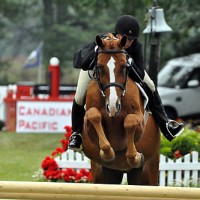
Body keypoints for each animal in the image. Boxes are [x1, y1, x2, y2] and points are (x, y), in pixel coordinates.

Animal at [81, 32, 161, 184]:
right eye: (99, 67)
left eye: (124, 67)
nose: (113, 106)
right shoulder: (88, 124)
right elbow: (94, 115)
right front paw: (107, 153)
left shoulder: (140, 121)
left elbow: (130, 121)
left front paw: (136, 157)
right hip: (104, 176)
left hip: (148, 174)